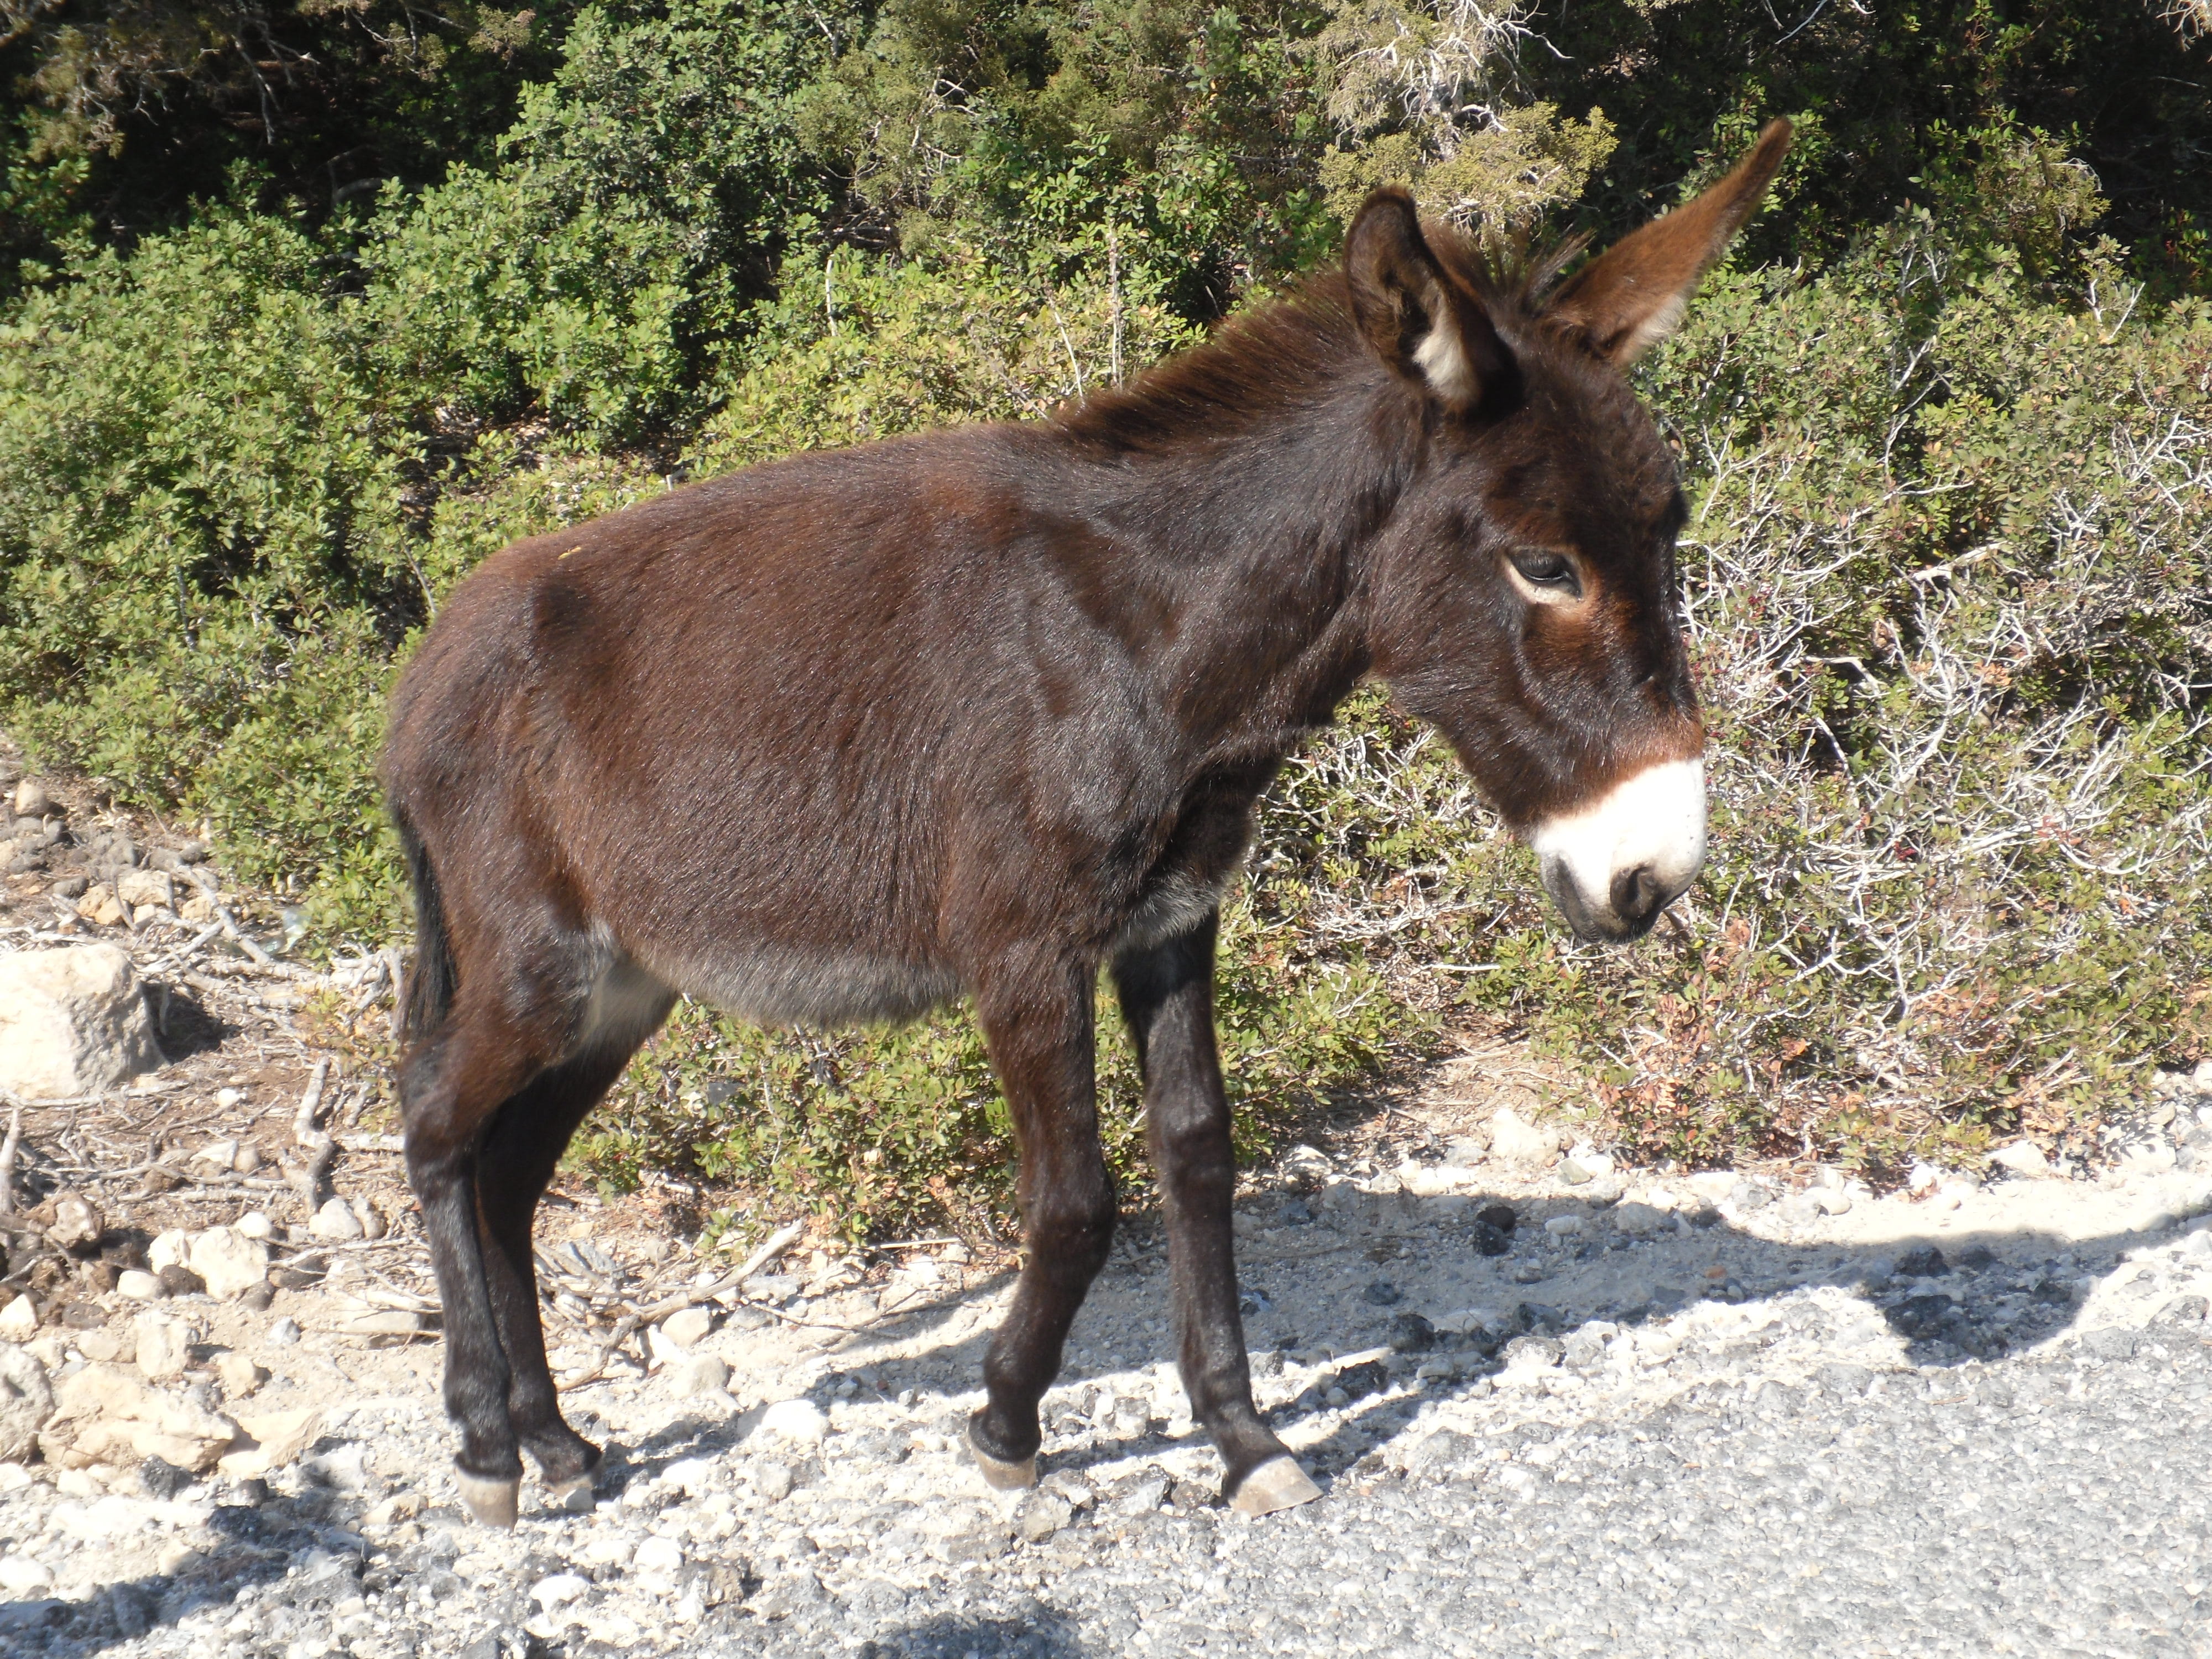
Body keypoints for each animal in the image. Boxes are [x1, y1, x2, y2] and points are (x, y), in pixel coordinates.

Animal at [382, 120, 1792, 1527]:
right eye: (1543, 565)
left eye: (1665, 533)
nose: (1657, 873)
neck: (1140, 638)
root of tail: (424, 669)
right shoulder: (1021, 954)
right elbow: (1073, 1201)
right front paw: (1006, 1425)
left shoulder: (1171, 922)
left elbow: (1200, 1158)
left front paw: (1242, 1435)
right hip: (537, 964)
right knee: (435, 1125)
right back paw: (486, 1449)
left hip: (622, 990)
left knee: (507, 1176)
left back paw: (555, 1441)